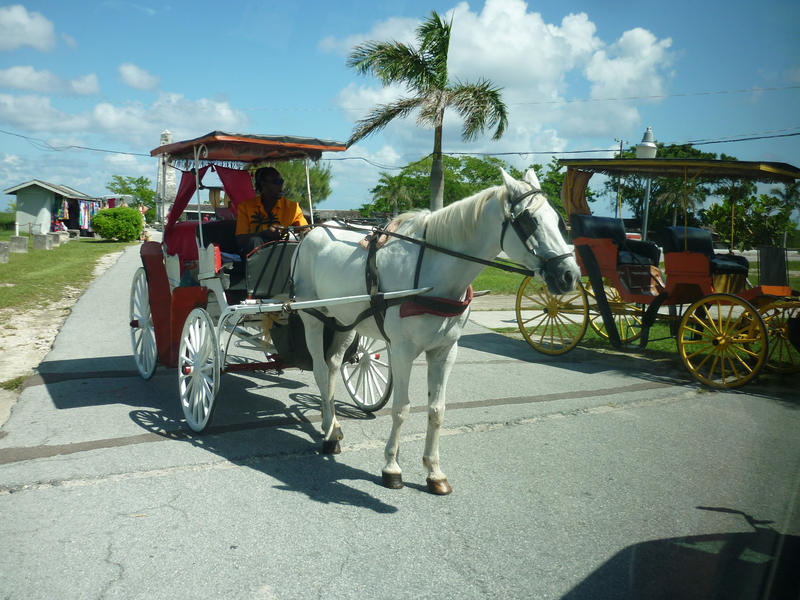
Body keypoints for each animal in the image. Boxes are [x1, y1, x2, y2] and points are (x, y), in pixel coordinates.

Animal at [292, 168, 576, 492]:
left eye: (558, 220)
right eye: (529, 221)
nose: (569, 275)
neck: (433, 273)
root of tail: (311, 233)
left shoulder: (445, 351)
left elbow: (437, 409)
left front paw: (434, 471)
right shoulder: (402, 351)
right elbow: (401, 408)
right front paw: (391, 467)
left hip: (345, 321)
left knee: (333, 367)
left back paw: (332, 427)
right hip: (313, 318)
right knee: (319, 369)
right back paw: (328, 435)